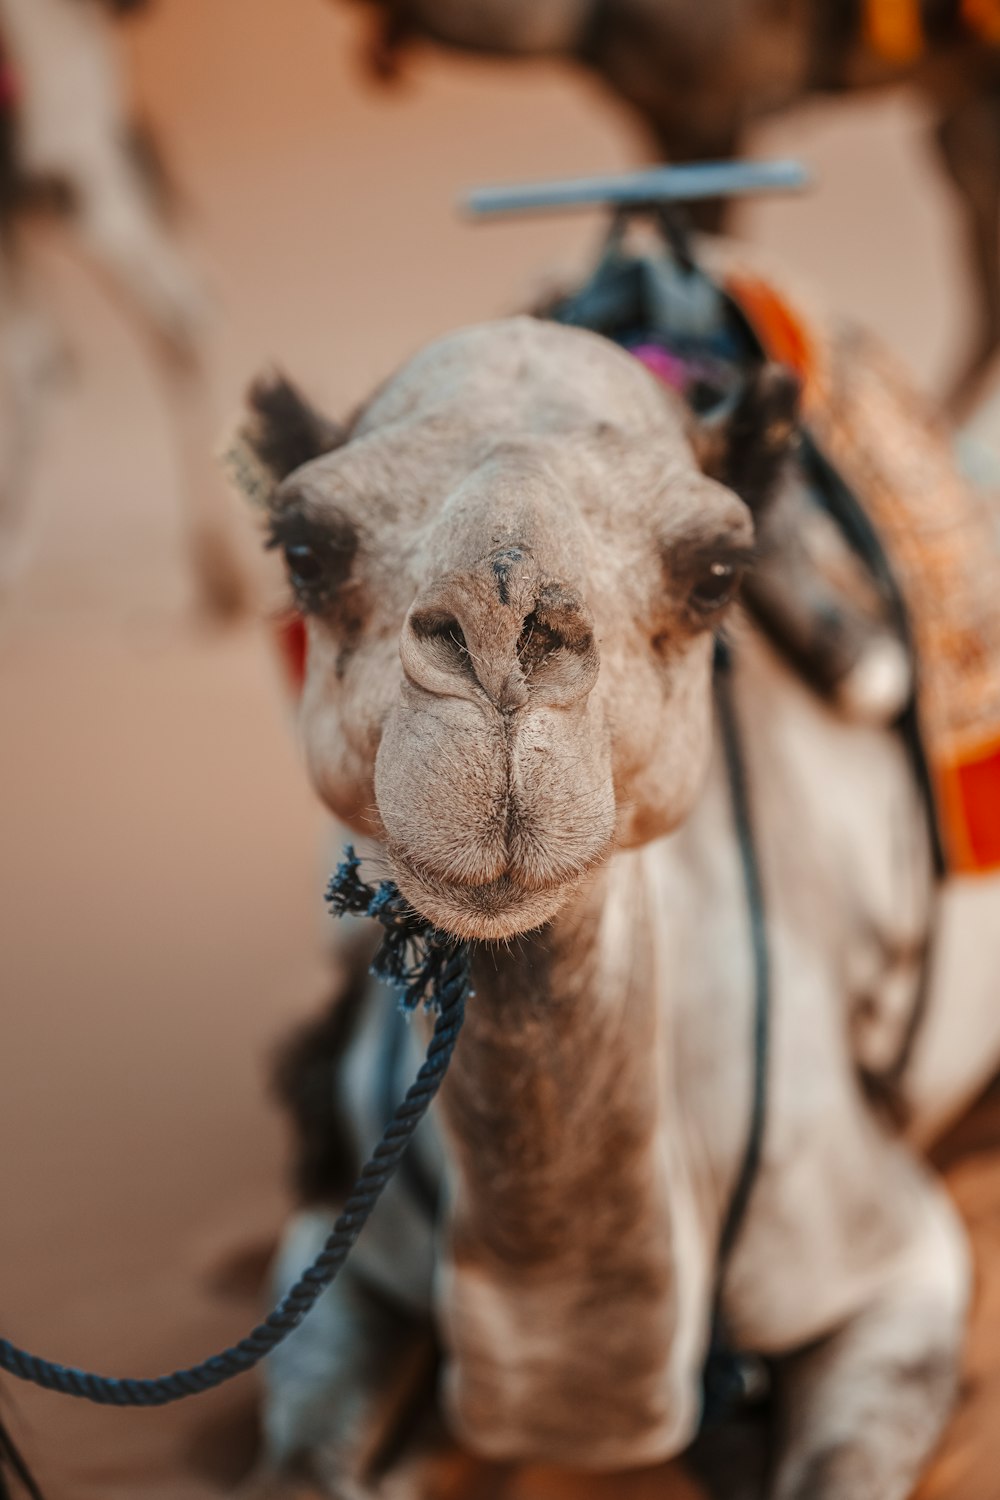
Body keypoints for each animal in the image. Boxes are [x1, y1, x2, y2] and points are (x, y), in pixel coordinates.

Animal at [218, 273, 1000, 1500]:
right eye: (303, 546)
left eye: (717, 569)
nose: (502, 641)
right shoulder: (331, 1257)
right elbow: (297, 1462)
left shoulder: (903, 1261)